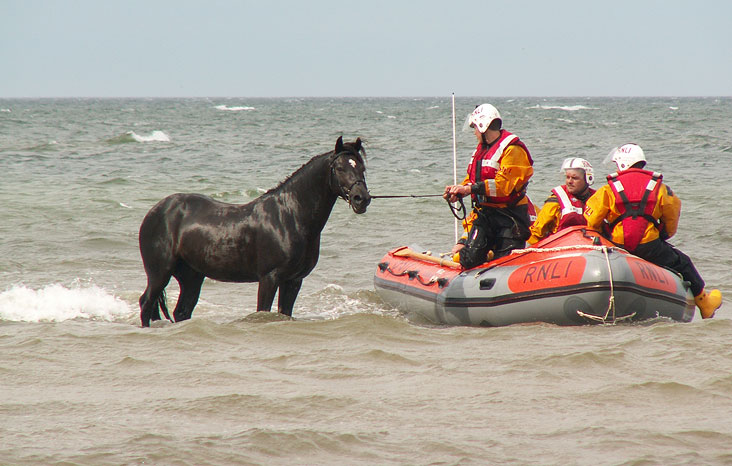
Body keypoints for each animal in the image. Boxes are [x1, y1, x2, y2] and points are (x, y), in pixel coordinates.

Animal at [137, 137, 368, 328]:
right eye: (339, 168)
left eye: (362, 168)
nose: (361, 199)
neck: (289, 217)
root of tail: (157, 210)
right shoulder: (269, 278)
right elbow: (262, 311)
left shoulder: (294, 280)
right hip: (160, 273)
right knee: (146, 304)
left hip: (191, 277)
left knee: (181, 311)